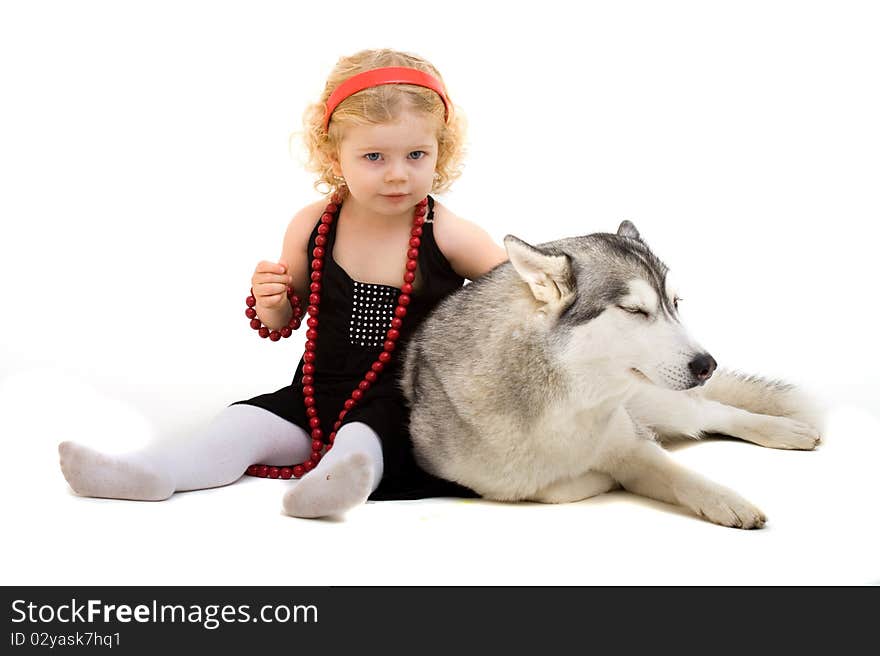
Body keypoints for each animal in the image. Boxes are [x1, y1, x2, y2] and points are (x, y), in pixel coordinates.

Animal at [402, 223, 820, 532]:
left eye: (675, 304)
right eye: (635, 310)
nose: (707, 365)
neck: (569, 405)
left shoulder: (633, 445)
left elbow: (679, 473)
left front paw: (726, 499)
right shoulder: (486, 482)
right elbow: (556, 488)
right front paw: (599, 479)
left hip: (662, 402)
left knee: (714, 412)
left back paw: (785, 430)